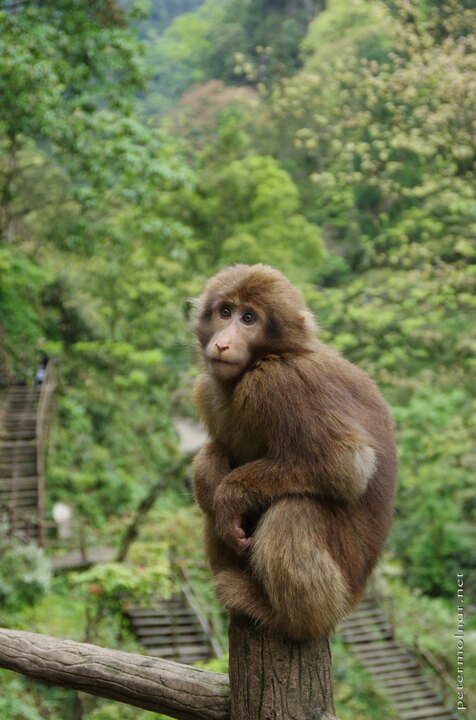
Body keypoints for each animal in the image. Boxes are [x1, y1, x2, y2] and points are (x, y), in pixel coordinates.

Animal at [191, 264, 398, 640]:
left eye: (249, 318)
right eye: (225, 311)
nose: (223, 343)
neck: (268, 357)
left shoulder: (277, 383)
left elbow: (347, 464)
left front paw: (230, 496)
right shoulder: (206, 390)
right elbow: (214, 455)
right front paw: (215, 483)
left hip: (343, 580)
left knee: (295, 509)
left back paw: (284, 618)